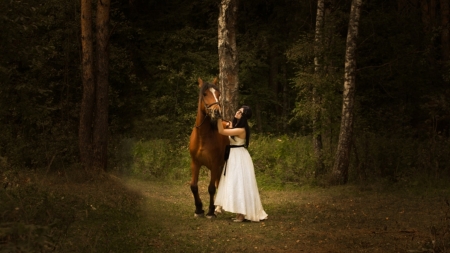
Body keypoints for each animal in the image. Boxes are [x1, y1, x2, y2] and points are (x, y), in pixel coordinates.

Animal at [188, 77, 229, 217]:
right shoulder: (195, 163)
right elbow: (193, 186)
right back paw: (218, 208)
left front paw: (210, 211)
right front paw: (199, 209)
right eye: (205, 94)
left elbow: (211, 188)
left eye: (218, 94)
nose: (217, 112)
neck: (203, 137)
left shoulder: (214, 164)